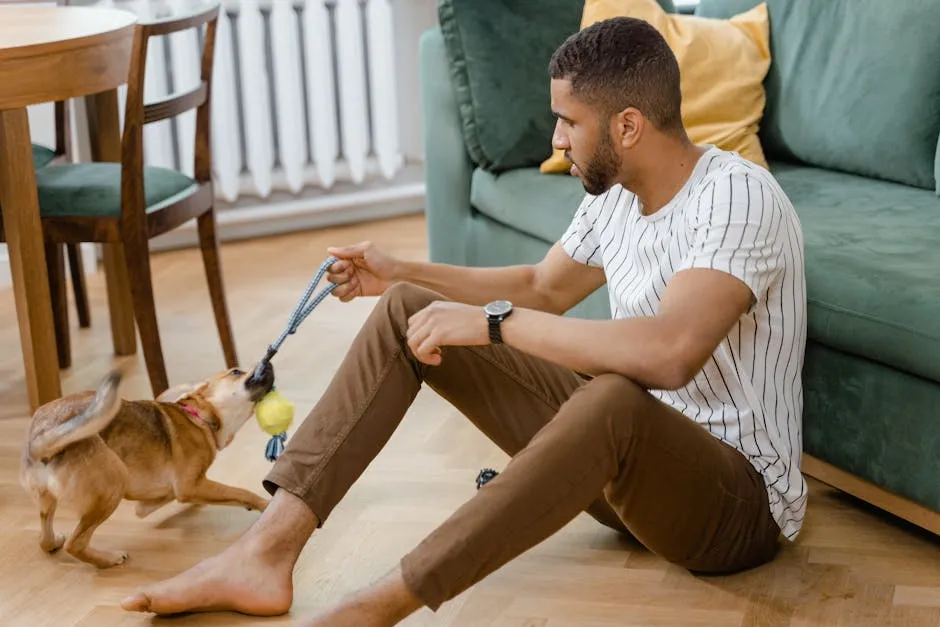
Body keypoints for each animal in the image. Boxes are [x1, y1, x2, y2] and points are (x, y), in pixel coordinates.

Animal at [19, 360, 276, 572]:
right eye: (236, 372)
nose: (269, 363)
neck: (197, 417)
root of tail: (41, 439)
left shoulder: (173, 490)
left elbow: (148, 505)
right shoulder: (190, 485)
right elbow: (240, 492)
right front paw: (265, 505)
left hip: (48, 500)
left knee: (45, 537)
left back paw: (54, 542)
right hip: (114, 482)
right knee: (76, 543)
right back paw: (108, 559)